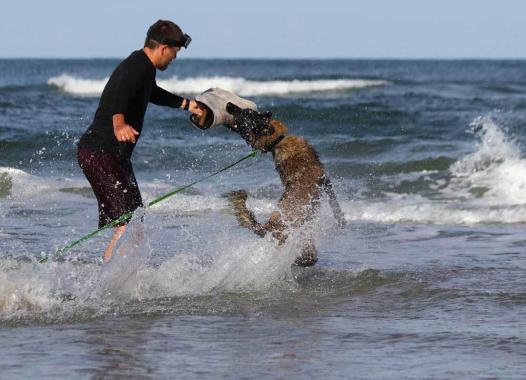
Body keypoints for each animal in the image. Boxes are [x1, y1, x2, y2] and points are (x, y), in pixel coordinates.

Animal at [226, 102, 346, 266]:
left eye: (247, 113)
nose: (229, 104)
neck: (278, 141)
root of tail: (267, 225)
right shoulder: (323, 178)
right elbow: (334, 203)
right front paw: (341, 221)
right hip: (299, 230)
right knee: (306, 254)